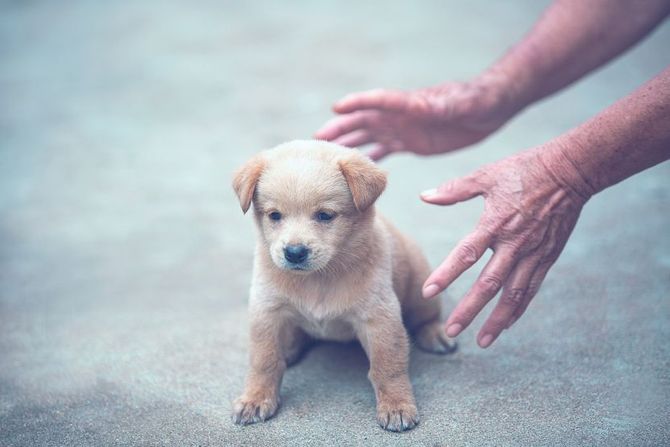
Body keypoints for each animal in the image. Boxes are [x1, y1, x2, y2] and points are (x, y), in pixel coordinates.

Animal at [231, 142, 456, 432]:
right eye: (274, 215)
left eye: (325, 215)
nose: (294, 252)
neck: (318, 279)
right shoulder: (267, 312)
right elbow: (264, 361)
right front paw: (256, 398)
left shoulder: (380, 319)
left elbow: (388, 366)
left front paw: (397, 405)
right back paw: (290, 347)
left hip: (420, 288)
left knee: (426, 317)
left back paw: (435, 333)